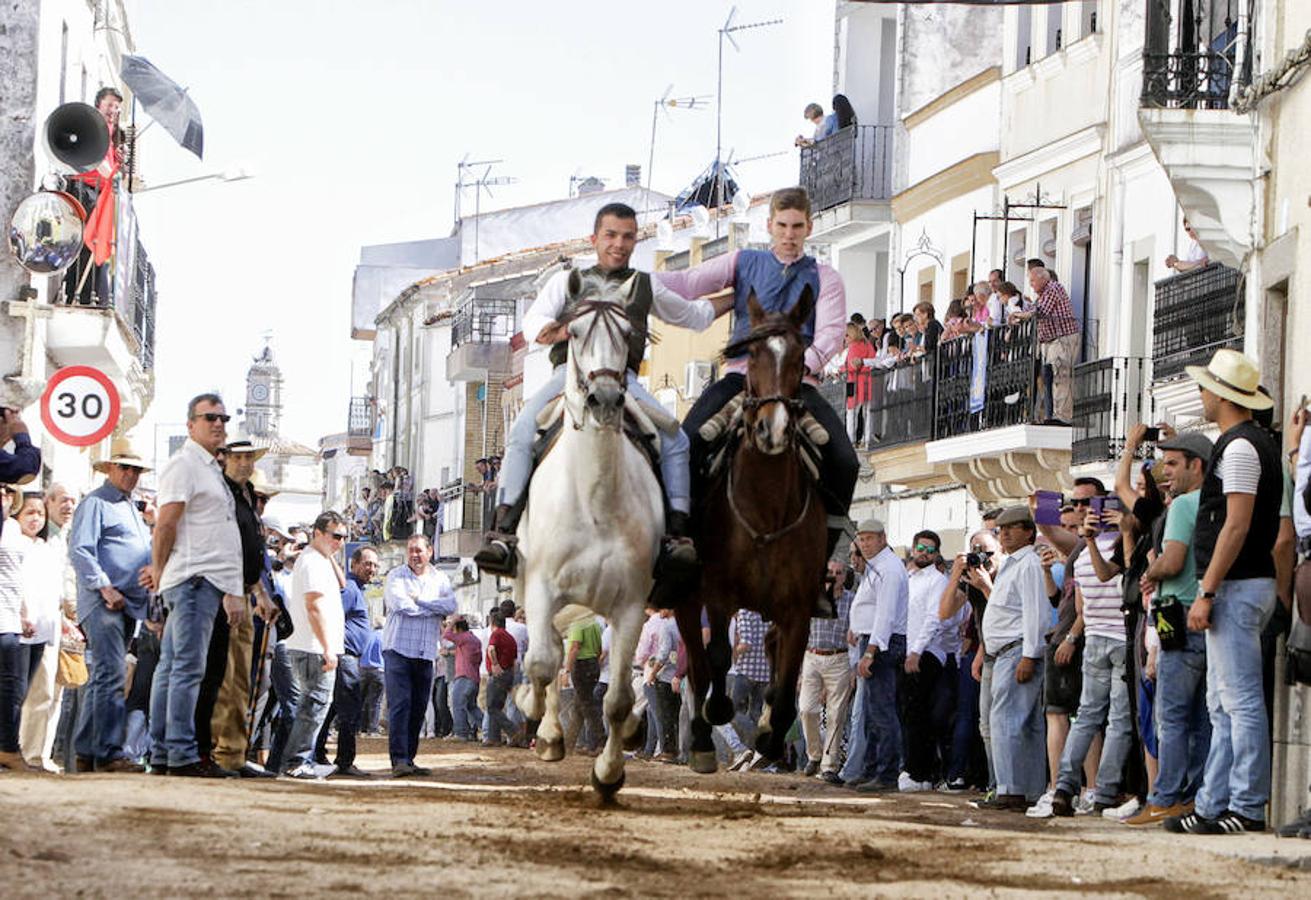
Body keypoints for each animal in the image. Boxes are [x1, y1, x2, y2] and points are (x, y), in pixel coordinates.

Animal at [513, 270, 665, 802]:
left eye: (628, 333)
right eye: (574, 332)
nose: (604, 400)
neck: (595, 500)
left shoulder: (631, 606)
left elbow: (617, 699)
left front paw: (608, 774)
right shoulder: (542, 589)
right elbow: (541, 662)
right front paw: (543, 731)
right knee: (547, 656)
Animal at [681, 288, 823, 776]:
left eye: (800, 357)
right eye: (754, 353)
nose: (773, 429)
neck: (765, 513)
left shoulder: (798, 608)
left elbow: (788, 680)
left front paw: (769, 735)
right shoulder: (718, 596)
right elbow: (718, 660)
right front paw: (719, 711)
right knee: (697, 663)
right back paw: (701, 740)